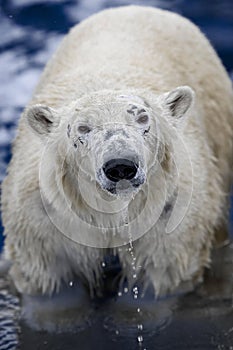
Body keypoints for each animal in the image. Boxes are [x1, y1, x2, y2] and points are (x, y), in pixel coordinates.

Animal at [0, 6, 232, 296]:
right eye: (83, 128)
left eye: (143, 120)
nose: (121, 166)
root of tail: (135, 7)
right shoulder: (46, 226)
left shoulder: (169, 220)